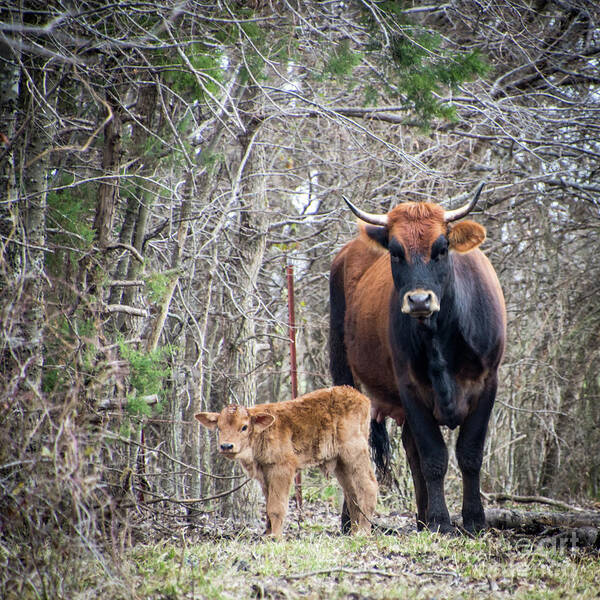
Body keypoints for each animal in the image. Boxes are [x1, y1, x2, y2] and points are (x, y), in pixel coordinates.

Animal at [195, 386, 378, 536]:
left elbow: (276, 506)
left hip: (355, 455)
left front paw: (275, 537)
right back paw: (353, 532)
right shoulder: (264, 475)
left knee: (368, 486)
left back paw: (363, 532)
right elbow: (268, 505)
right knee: (352, 493)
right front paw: (267, 534)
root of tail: (361, 397)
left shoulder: (281, 469)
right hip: (341, 464)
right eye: (219, 428)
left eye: (244, 427)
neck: (262, 432)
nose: (226, 446)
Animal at [328, 184, 506, 536]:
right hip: (343, 371)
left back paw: (421, 517)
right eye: (396, 252)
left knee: (411, 452)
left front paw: (474, 519)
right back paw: (351, 519)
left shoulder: (488, 383)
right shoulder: (409, 387)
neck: (439, 337)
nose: (420, 300)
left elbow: (469, 454)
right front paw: (441, 521)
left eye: (441, 248)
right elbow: (434, 456)